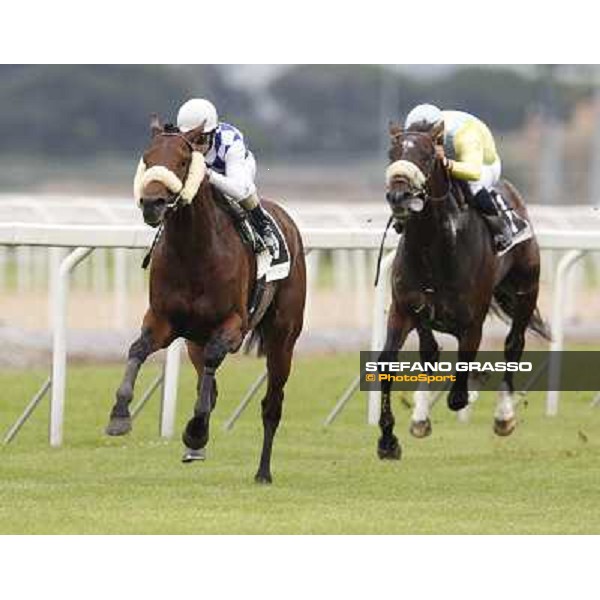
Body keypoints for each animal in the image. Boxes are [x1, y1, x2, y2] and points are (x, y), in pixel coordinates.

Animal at [104, 116, 304, 482]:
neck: (193, 251)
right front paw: (120, 414)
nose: (151, 203)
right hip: (194, 339)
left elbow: (213, 365)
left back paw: (262, 471)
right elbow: (137, 350)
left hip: (283, 339)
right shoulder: (162, 320)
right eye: (147, 158)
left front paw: (195, 432)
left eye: (183, 161)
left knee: (271, 404)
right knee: (208, 386)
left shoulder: (233, 326)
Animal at [378, 122, 552, 460]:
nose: (399, 195)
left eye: (427, 155)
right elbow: (395, 361)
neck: (433, 248)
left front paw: (472, 390)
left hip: (526, 291)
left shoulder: (471, 322)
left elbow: (458, 389)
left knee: (514, 344)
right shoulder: (405, 308)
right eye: (392, 153)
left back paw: (504, 417)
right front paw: (389, 439)